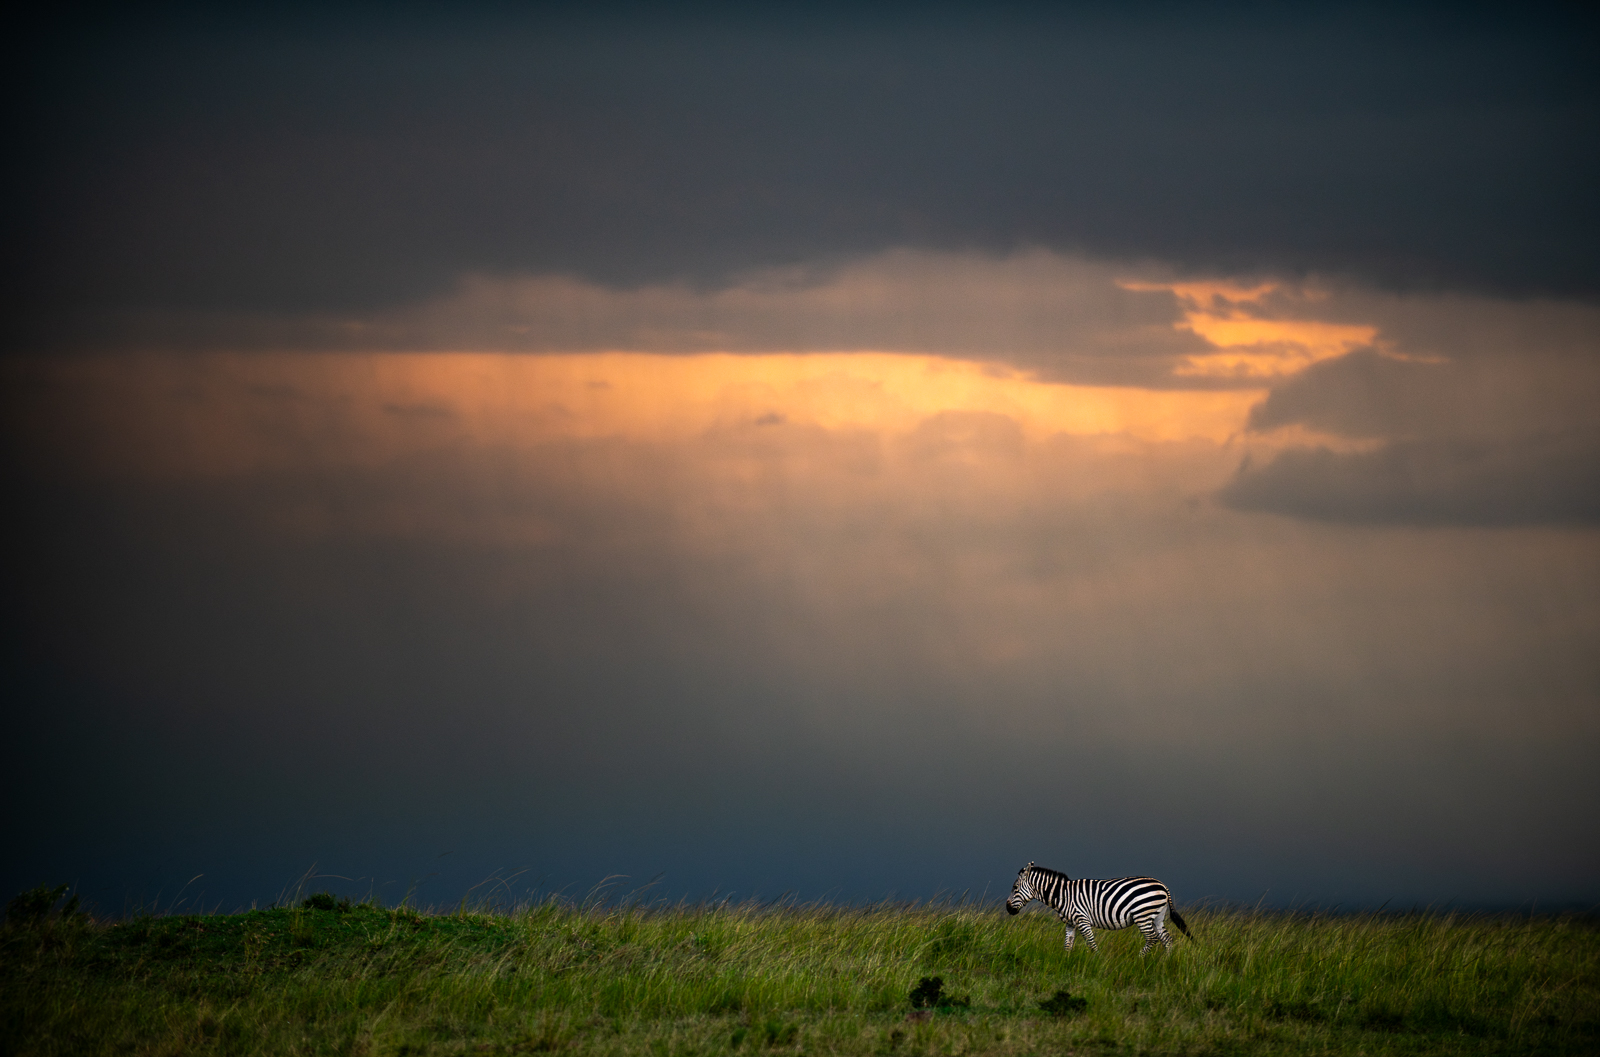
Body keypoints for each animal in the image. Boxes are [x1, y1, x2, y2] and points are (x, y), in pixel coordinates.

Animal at [1005, 861, 1191, 954]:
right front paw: (1064, 964)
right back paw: (1165, 963)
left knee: (1152, 938)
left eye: (1014, 888)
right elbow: (1067, 946)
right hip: (1157, 916)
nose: (1007, 909)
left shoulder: (1082, 919)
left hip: (1142, 914)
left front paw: (1097, 962)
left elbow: (1091, 943)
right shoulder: (1070, 923)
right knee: (1167, 940)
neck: (1062, 895)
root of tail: (1163, 886)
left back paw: (1140, 960)